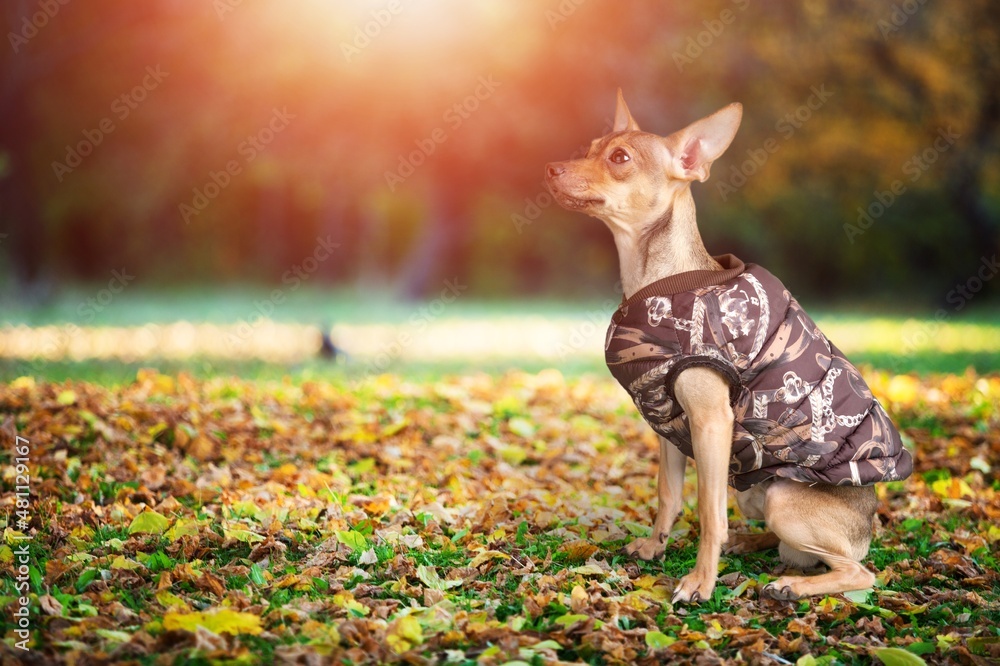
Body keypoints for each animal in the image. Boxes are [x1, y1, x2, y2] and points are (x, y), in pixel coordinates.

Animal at [548, 91, 916, 604]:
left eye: (619, 158)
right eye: (590, 148)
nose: (551, 168)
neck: (656, 280)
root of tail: (868, 529)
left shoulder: (710, 422)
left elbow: (707, 511)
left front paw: (700, 582)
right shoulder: (669, 424)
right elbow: (669, 495)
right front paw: (655, 546)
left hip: (782, 498)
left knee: (856, 571)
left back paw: (789, 585)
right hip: (750, 491)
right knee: (784, 545)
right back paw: (748, 544)